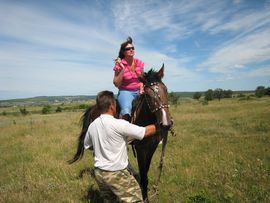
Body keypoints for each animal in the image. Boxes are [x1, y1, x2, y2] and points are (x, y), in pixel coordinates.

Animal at [68, 64, 172, 201]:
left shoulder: (152, 148)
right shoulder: (140, 149)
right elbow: (144, 177)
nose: (166, 124)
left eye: (165, 90)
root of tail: (95, 107)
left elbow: (146, 171)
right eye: (148, 95)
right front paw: (145, 197)